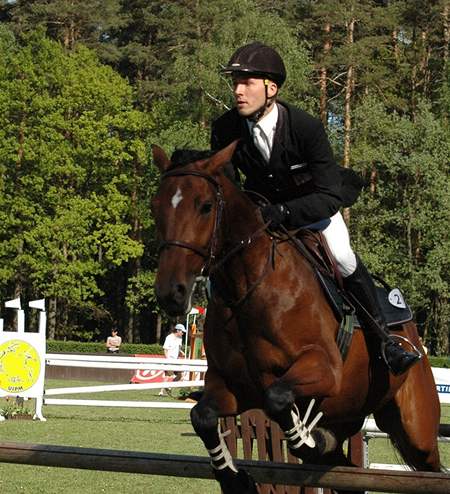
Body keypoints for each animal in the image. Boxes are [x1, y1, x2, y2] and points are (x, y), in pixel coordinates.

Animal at [150, 141, 440, 492]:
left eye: (205, 206)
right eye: (155, 207)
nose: (171, 293)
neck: (247, 287)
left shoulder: (325, 369)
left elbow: (277, 398)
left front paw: (305, 438)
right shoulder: (233, 387)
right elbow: (203, 416)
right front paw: (233, 476)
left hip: (416, 430)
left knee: (431, 467)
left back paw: (393, 354)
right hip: (349, 415)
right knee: (343, 467)